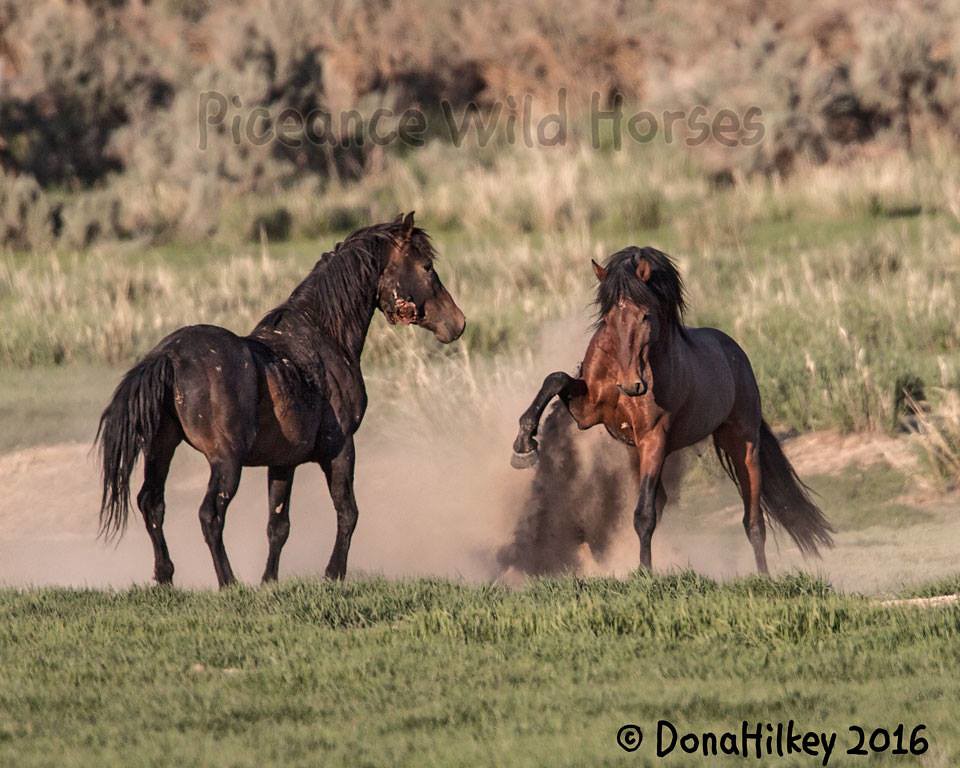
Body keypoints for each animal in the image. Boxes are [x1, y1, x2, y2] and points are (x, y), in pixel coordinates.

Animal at [96, 213, 465, 588]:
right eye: (426, 266)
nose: (457, 323)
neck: (323, 337)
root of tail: (168, 356)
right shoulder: (341, 448)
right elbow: (347, 512)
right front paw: (333, 574)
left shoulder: (283, 462)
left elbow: (278, 525)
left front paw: (269, 581)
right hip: (225, 462)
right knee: (210, 514)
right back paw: (228, 581)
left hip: (161, 448)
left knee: (152, 503)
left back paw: (166, 577)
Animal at [510, 246, 832, 574]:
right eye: (609, 317)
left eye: (645, 315)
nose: (632, 385)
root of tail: (736, 354)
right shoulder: (586, 413)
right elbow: (556, 378)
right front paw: (524, 445)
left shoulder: (654, 436)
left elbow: (643, 514)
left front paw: (644, 573)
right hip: (637, 452)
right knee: (664, 501)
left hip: (741, 444)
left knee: (753, 522)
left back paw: (763, 575)